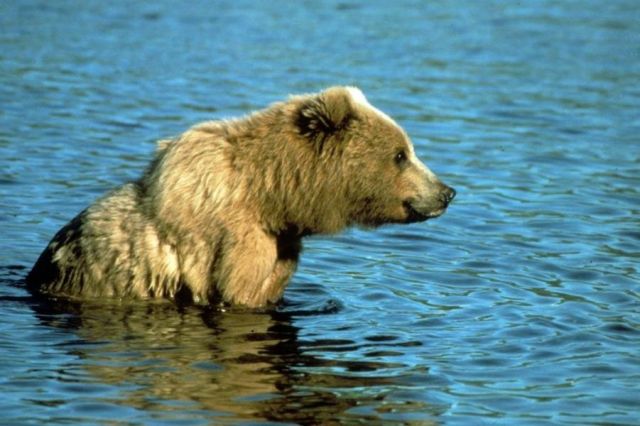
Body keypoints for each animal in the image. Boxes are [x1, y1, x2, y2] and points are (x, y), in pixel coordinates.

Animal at [26, 87, 456, 308]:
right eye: (401, 154)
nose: (446, 192)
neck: (271, 195)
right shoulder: (237, 240)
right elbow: (238, 293)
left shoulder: (282, 244)